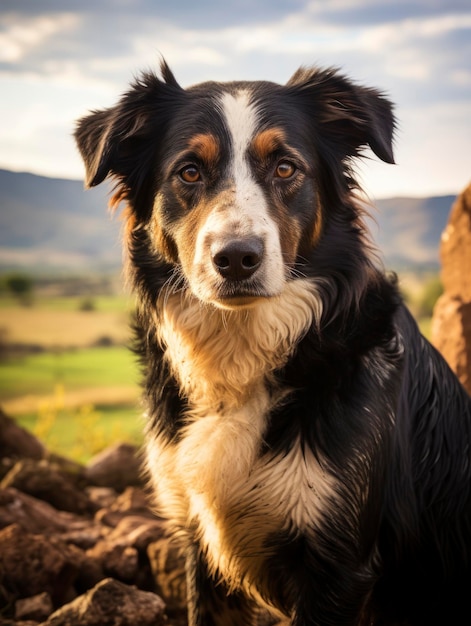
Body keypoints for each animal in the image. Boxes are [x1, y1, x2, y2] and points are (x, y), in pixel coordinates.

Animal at [75, 59, 471, 624]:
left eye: (285, 168)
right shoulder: (201, 543)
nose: (237, 258)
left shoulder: (337, 564)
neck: (241, 355)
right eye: (189, 172)